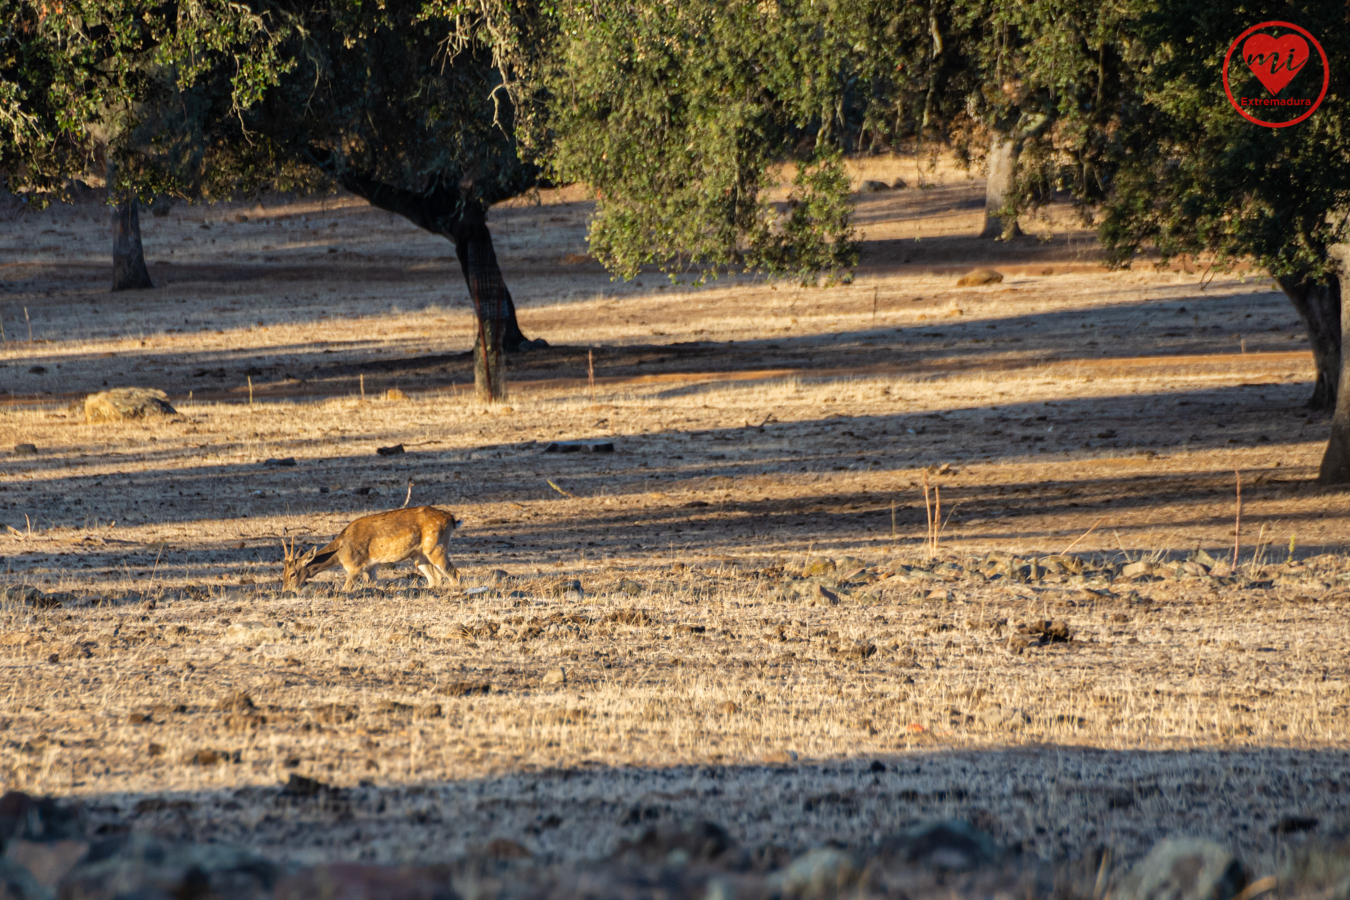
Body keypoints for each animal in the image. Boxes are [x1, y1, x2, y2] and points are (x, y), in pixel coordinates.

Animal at [282, 507, 461, 591]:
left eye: (293, 574)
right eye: (282, 573)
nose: (286, 590)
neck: (340, 552)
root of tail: (452, 519)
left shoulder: (355, 566)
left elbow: (346, 589)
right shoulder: (370, 567)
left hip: (436, 547)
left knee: (455, 574)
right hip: (419, 555)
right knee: (435, 578)